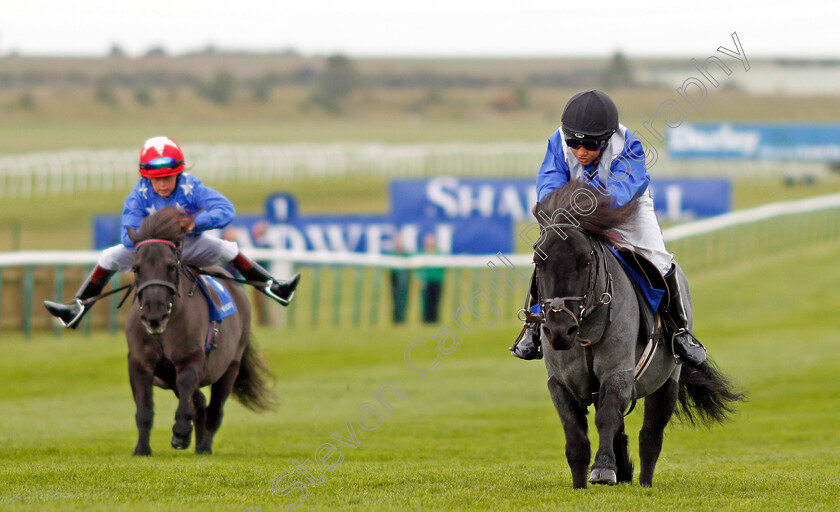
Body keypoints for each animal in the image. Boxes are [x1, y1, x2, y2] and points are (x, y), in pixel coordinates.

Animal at [125, 208, 276, 456]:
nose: (154, 315)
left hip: (230, 365)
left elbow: (188, 386)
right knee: (200, 403)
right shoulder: (140, 362)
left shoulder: (191, 358)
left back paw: (203, 446)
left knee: (214, 408)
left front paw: (180, 432)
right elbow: (144, 408)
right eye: (136, 268)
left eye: (171, 266)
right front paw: (141, 449)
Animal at [532, 180, 740, 488]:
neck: (586, 328)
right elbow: (576, 436)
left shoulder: (618, 372)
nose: (559, 329)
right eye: (539, 261)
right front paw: (581, 482)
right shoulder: (560, 382)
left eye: (584, 262)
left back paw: (644, 482)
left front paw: (604, 469)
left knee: (650, 436)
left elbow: (607, 417)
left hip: (668, 382)